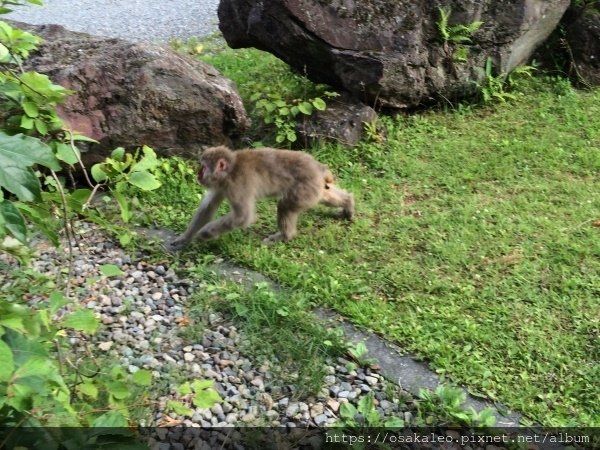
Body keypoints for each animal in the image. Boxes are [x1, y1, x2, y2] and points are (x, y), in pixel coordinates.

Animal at [166, 145, 354, 248]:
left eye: (203, 167)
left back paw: (285, 236)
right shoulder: (221, 185)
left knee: (285, 204)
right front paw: (185, 238)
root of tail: (318, 167)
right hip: (314, 187)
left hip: (305, 188)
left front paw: (205, 234)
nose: (198, 175)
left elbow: (242, 217)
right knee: (324, 195)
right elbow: (208, 208)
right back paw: (348, 203)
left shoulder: (237, 185)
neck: (230, 171)